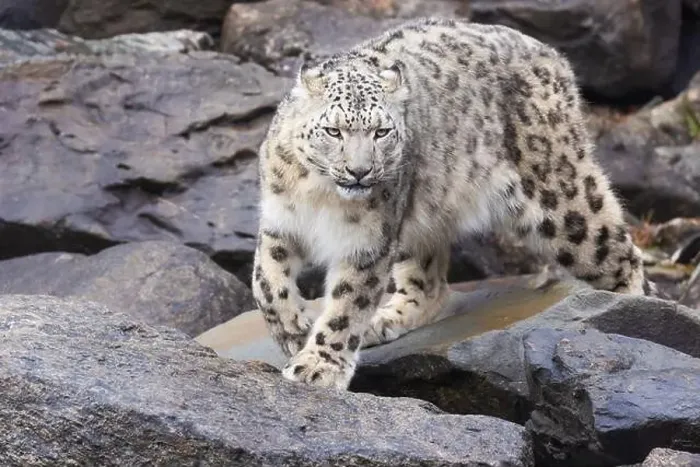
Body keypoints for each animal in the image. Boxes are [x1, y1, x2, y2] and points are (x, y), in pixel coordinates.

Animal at [251, 17, 653, 390]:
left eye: (381, 132)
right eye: (333, 131)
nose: (360, 171)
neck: (320, 195)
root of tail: (551, 55)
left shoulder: (368, 241)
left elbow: (347, 306)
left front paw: (318, 366)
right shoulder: (280, 221)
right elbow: (265, 280)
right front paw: (291, 328)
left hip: (561, 198)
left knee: (620, 253)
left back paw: (631, 318)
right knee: (430, 285)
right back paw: (386, 320)